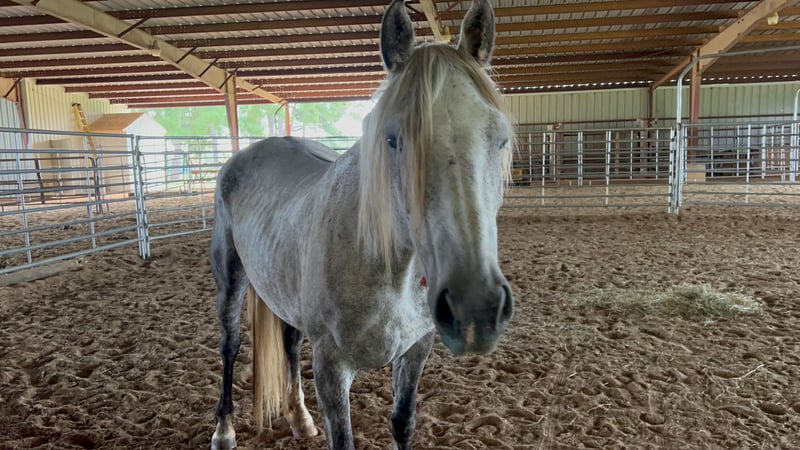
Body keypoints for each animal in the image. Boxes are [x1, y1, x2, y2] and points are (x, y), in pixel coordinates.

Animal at [209, 1, 514, 448]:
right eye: (392, 139)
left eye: (501, 137)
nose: (475, 308)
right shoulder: (332, 370)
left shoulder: (416, 349)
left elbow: (403, 422)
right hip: (231, 282)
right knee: (229, 345)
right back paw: (224, 431)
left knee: (289, 341)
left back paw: (300, 418)